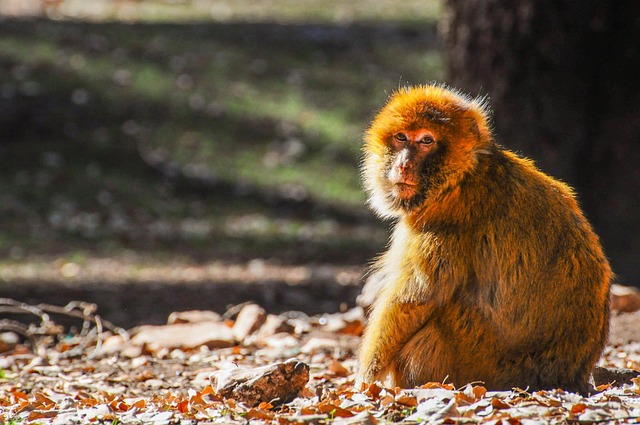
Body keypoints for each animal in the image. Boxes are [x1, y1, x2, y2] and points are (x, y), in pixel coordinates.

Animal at [357, 84, 612, 394]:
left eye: (426, 140)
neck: (461, 175)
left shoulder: (444, 223)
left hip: (480, 357)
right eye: (401, 137)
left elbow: (414, 299)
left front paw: (365, 379)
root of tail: (567, 376)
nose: (404, 165)